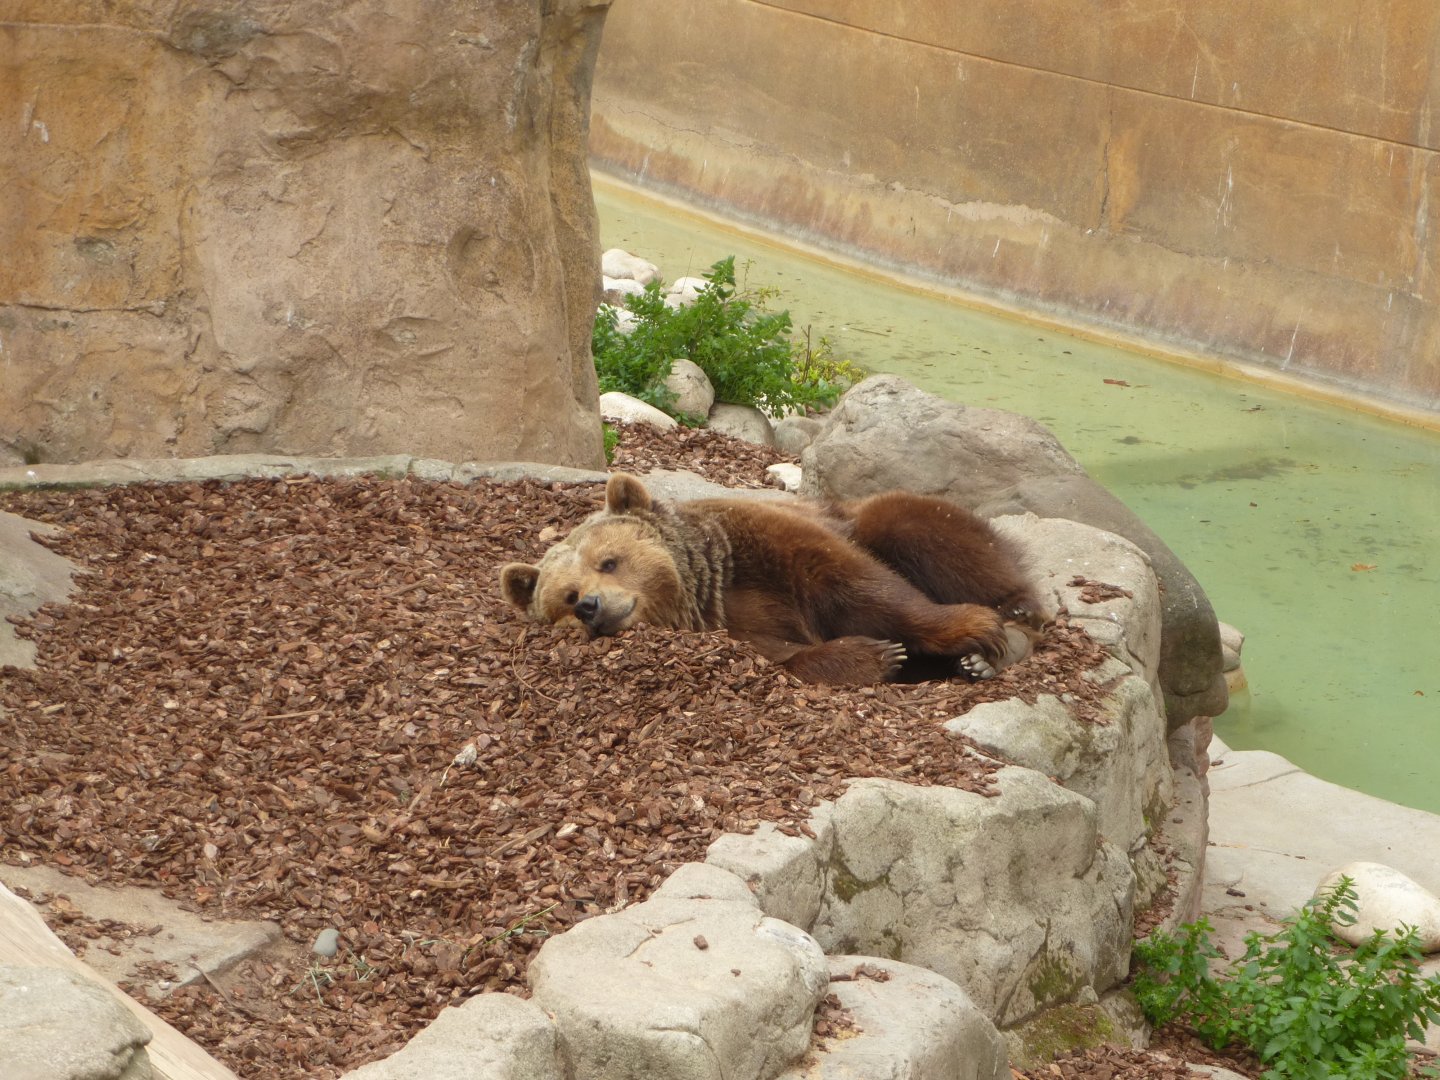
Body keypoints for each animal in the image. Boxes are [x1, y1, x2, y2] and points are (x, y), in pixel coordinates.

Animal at [499, 473, 1045, 686]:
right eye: (565, 597)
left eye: (608, 561)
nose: (590, 606)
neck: (708, 592)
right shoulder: (736, 627)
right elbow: (783, 655)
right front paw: (876, 656)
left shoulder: (763, 545)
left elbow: (867, 585)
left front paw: (972, 629)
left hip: (880, 515)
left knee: (914, 527)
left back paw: (1002, 632)